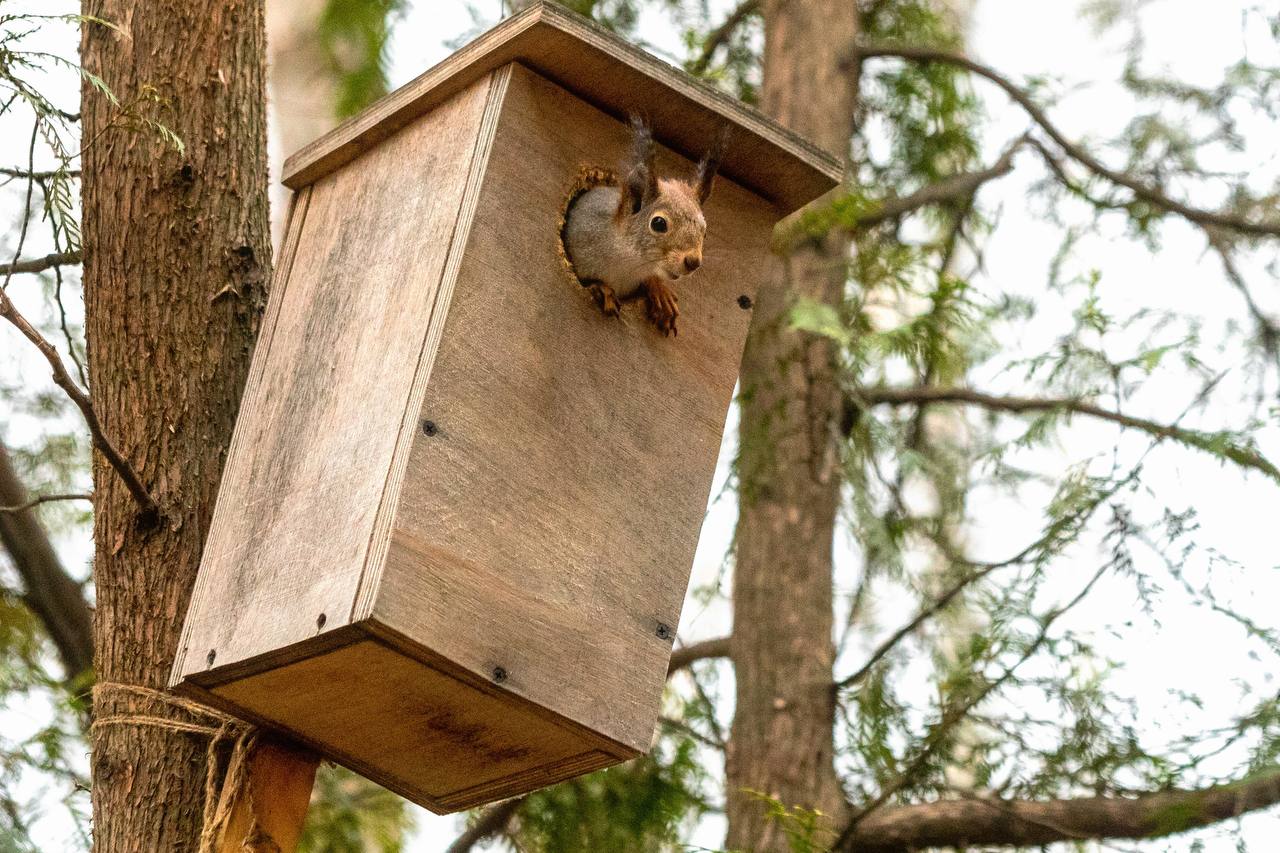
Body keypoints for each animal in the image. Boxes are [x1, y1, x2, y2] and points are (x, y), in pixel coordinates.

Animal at [563, 116, 727, 335]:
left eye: (705, 231)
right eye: (658, 223)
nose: (693, 262)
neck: (628, 263)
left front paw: (659, 291)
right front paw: (603, 289)